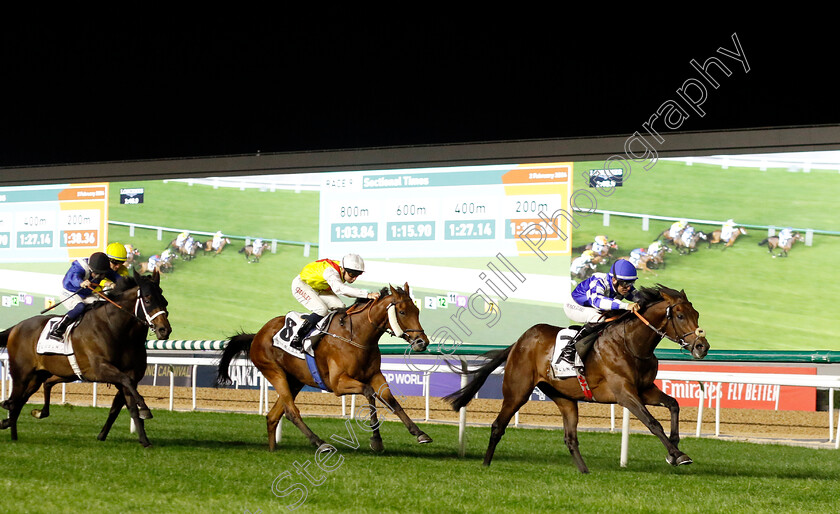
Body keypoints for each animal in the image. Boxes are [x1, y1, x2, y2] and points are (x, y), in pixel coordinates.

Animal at [0, 268, 172, 444]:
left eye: (164, 301)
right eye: (148, 300)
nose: (164, 330)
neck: (117, 330)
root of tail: (16, 327)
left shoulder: (131, 375)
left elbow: (125, 405)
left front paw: (144, 440)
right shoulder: (100, 369)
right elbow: (126, 384)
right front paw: (145, 409)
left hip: (40, 376)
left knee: (25, 397)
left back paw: (16, 424)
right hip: (22, 374)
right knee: (15, 401)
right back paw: (12, 431)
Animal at [213, 282, 436, 450]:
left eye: (417, 310)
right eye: (402, 311)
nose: (422, 342)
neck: (357, 336)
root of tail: (257, 334)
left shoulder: (375, 375)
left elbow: (391, 401)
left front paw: (420, 433)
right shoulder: (338, 383)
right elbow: (369, 393)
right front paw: (376, 440)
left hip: (295, 380)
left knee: (274, 415)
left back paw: (273, 450)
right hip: (274, 372)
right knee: (291, 411)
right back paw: (320, 443)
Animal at [446, 284, 708, 472]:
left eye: (696, 313)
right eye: (680, 316)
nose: (702, 347)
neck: (631, 344)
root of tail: (520, 341)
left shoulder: (645, 389)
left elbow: (673, 404)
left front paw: (674, 449)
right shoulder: (624, 393)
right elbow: (652, 422)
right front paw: (679, 455)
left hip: (565, 398)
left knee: (570, 438)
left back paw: (585, 471)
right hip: (517, 391)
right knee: (498, 426)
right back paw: (485, 464)